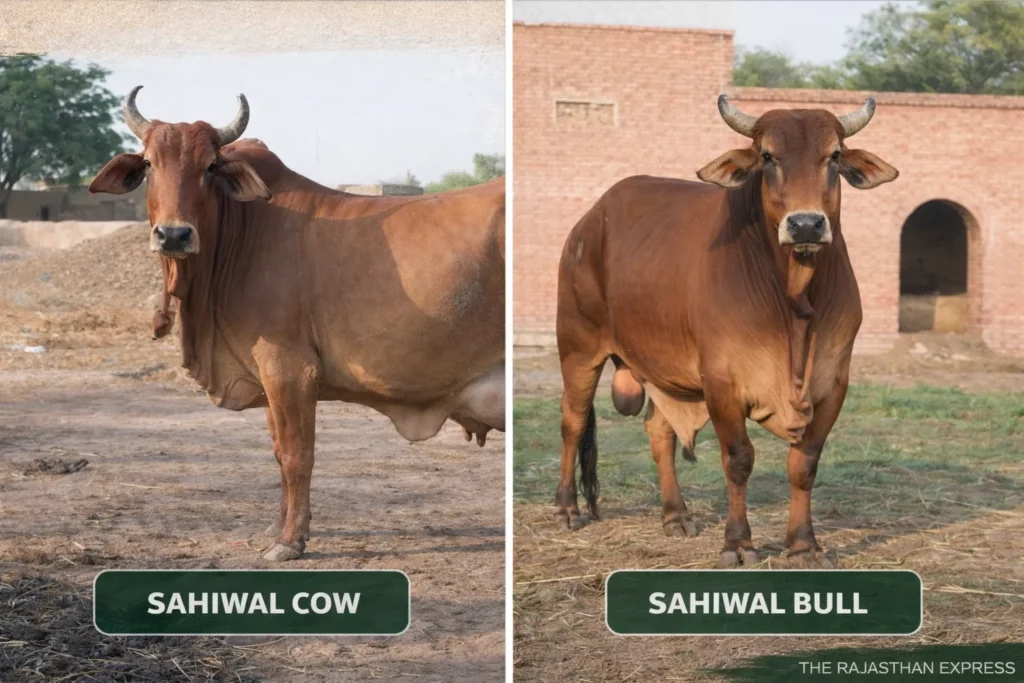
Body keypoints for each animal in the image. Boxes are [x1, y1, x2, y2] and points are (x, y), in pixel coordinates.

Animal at [89, 87, 505, 561]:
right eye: (149, 164)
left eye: (209, 166)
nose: (174, 235)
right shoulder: (268, 378)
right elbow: (277, 452)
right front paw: (278, 528)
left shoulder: (289, 370)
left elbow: (295, 456)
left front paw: (290, 540)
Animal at [554, 95, 898, 568]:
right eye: (767, 156)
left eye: (834, 155)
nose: (806, 225)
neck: (794, 304)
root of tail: (586, 224)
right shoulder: (722, 383)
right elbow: (738, 460)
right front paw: (738, 543)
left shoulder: (833, 383)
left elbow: (804, 464)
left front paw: (803, 545)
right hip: (578, 347)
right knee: (572, 421)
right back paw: (567, 508)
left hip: (662, 368)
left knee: (659, 431)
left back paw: (675, 515)